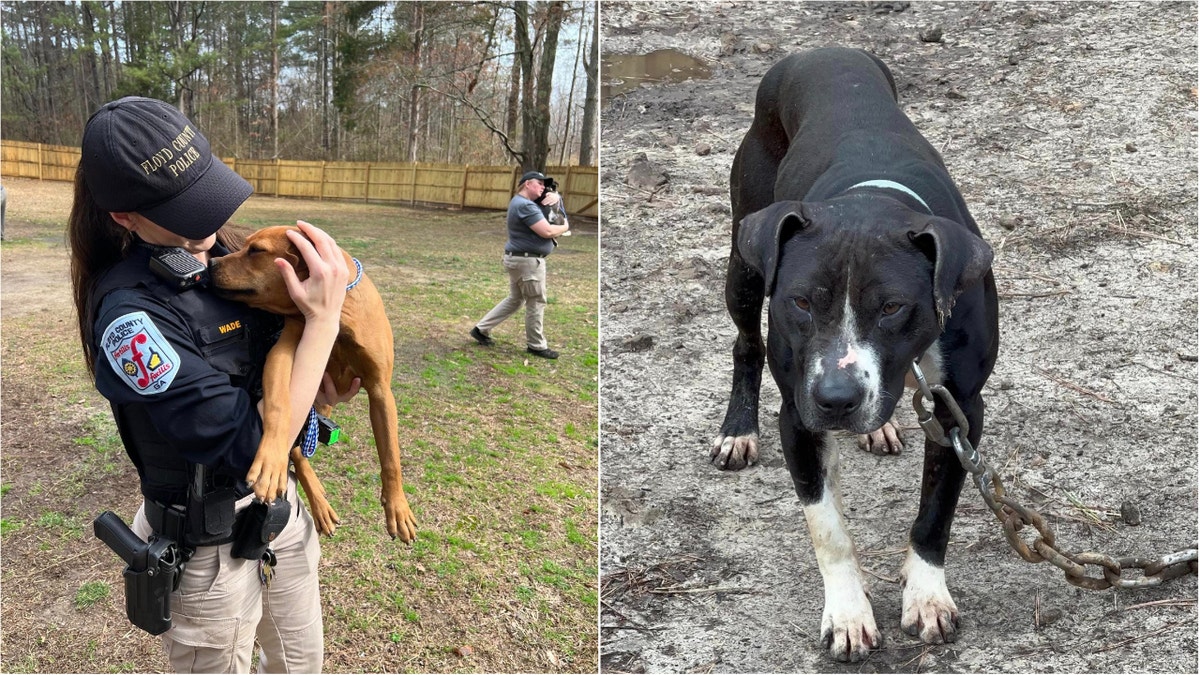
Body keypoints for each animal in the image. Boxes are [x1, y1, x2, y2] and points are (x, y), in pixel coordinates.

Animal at [204, 223, 415, 538]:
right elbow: (279, 408)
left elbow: (390, 455)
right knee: (299, 452)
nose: (211, 264)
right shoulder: (281, 354)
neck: (338, 316)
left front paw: (398, 508)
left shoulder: (381, 392)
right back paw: (317, 503)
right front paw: (270, 463)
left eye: (256, 250)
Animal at [710, 48, 993, 662]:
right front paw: (848, 613)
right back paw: (738, 430)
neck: (870, 203)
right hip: (744, 262)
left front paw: (926, 595)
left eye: (892, 307)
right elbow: (828, 527)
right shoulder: (798, 417)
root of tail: (819, 50)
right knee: (745, 343)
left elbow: (935, 513)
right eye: (800, 301)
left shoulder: (961, 407)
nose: (836, 398)